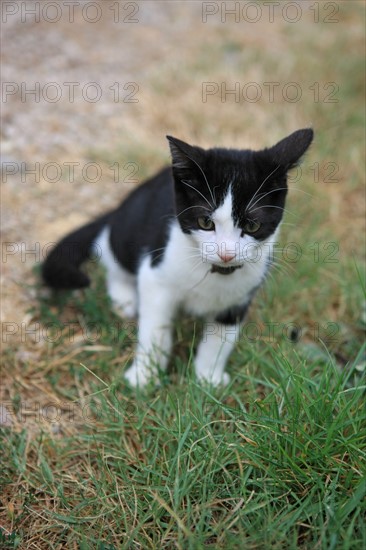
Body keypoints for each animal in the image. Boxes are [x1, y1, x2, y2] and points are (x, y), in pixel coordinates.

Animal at [42, 129, 312, 388]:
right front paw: (145, 376)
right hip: (128, 228)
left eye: (253, 225)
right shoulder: (155, 274)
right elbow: (155, 328)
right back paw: (123, 296)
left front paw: (208, 378)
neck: (213, 272)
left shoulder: (241, 296)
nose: (226, 253)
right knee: (109, 247)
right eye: (205, 222)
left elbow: (221, 338)